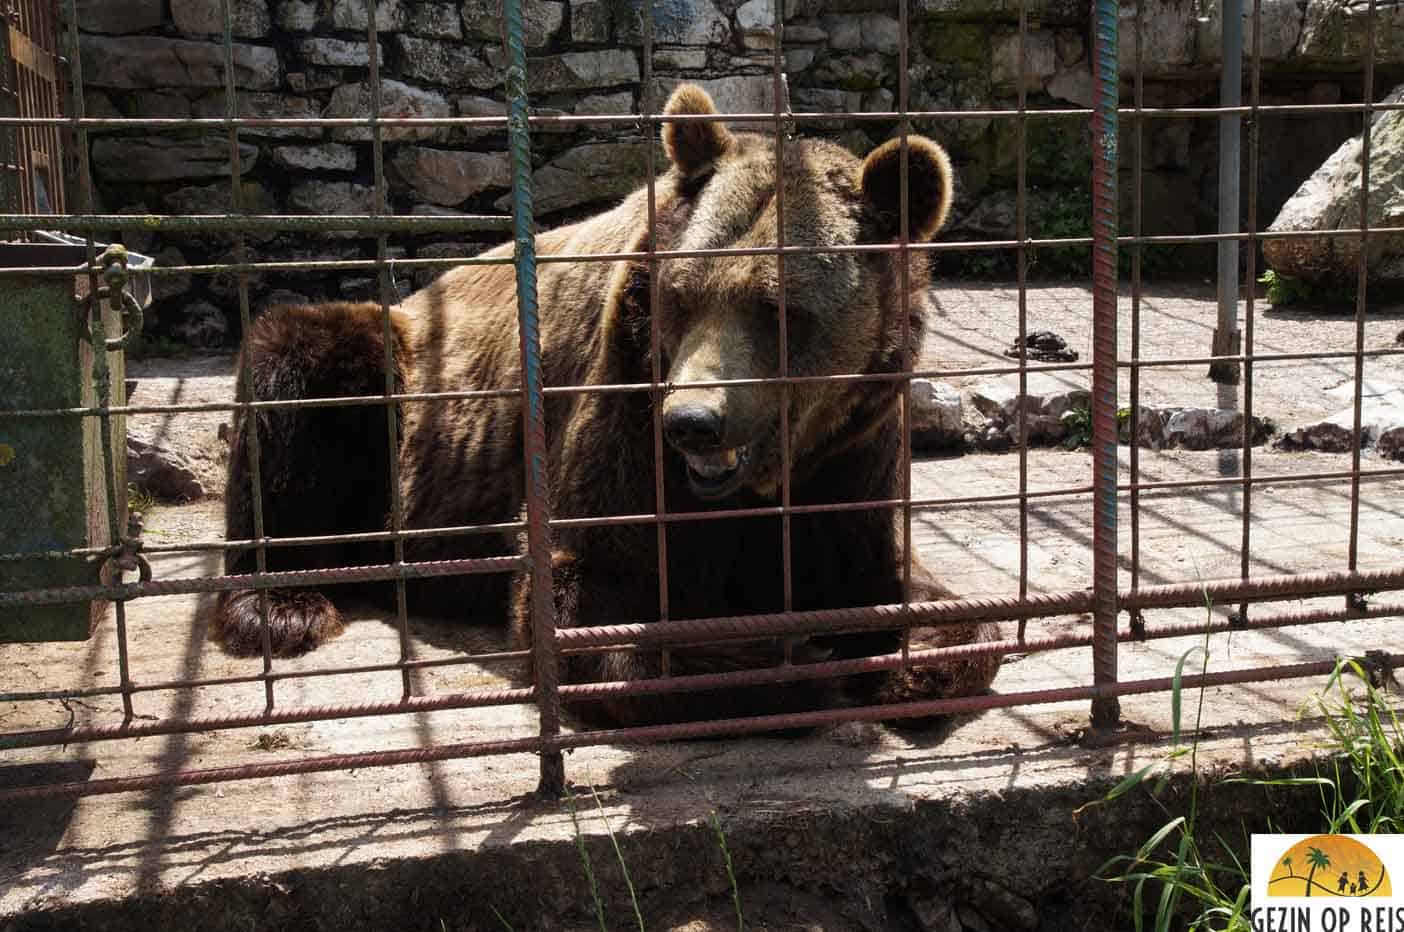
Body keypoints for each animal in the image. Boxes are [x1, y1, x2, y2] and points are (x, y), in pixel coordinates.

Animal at [213, 83, 999, 729]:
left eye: (778, 310)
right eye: (684, 295)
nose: (692, 423)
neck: (768, 476)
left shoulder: (850, 454)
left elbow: (922, 596)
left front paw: (907, 659)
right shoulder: (624, 406)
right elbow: (589, 592)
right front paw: (793, 664)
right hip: (398, 374)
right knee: (299, 363)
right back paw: (285, 605)